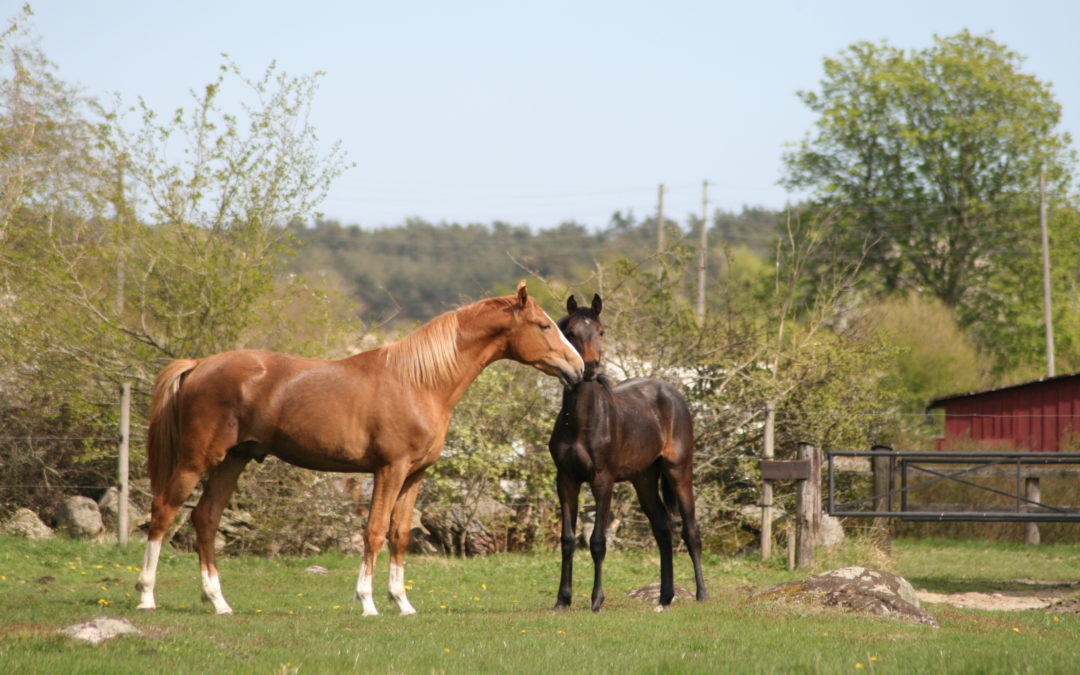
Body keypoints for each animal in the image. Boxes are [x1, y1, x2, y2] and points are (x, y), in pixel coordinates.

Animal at [139, 280, 587, 617]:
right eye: (544, 326)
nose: (579, 368)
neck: (419, 381)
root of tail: (198, 365)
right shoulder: (389, 469)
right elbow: (373, 531)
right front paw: (368, 602)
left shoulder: (415, 475)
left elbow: (400, 534)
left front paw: (402, 603)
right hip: (196, 460)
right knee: (163, 513)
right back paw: (146, 597)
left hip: (233, 460)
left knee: (205, 518)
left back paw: (218, 602)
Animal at [548, 293, 708, 609]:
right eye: (570, 332)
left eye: (601, 331)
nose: (590, 368)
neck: (582, 421)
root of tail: (673, 393)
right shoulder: (566, 480)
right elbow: (568, 540)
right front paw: (563, 600)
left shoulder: (603, 480)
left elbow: (598, 541)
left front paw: (596, 601)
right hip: (643, 479)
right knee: (663, 529)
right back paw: (665, 597)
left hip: (679, 470)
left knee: (690, 530)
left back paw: (701, 594)